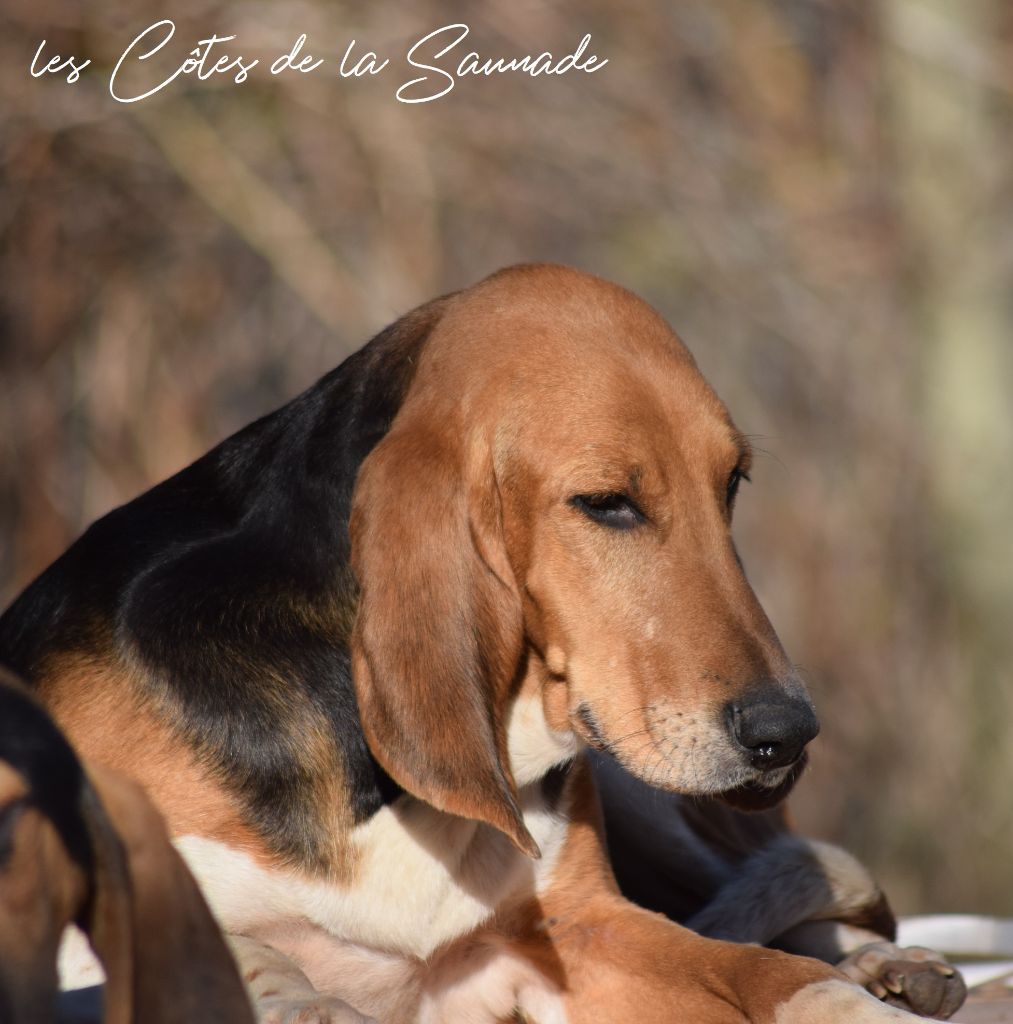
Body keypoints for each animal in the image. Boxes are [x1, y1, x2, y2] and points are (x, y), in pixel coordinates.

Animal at [0, 266, 958, 1024]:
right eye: (606, 503)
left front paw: (856, 1003)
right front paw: (302, 1000)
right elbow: (236, 950)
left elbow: (767, 971)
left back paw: (890, 967)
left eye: (731, 484)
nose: (786, 736)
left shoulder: (580, 927)